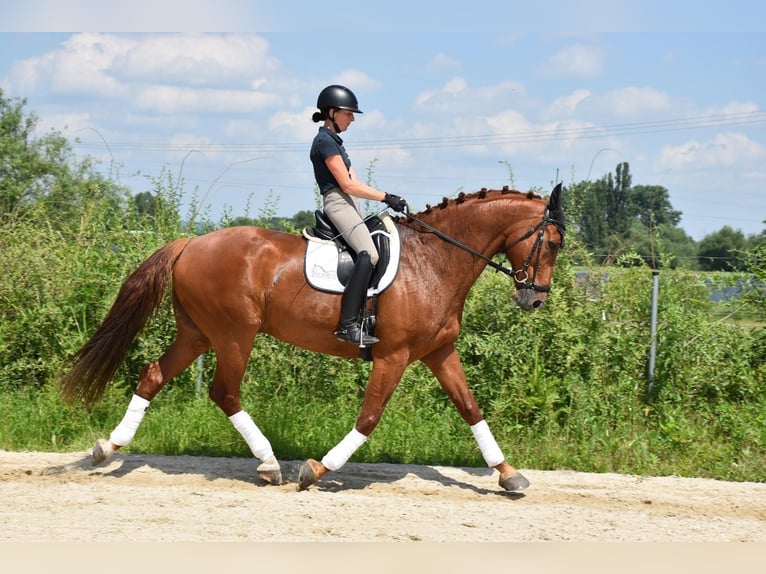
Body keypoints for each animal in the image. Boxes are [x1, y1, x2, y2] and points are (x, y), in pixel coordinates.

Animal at [60, 184, 568, 496]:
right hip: (234, 334)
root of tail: (190, 243)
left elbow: (471, 409)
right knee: (224, 392)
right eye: (554, 241)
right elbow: (369, 418)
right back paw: (270, 465)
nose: (534, 299)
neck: (435, 260)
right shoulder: (394, 356)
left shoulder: (439, 352)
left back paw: (107, 448)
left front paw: (509, 476)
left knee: (153, 376)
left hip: (198, 333)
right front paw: (316, 469)